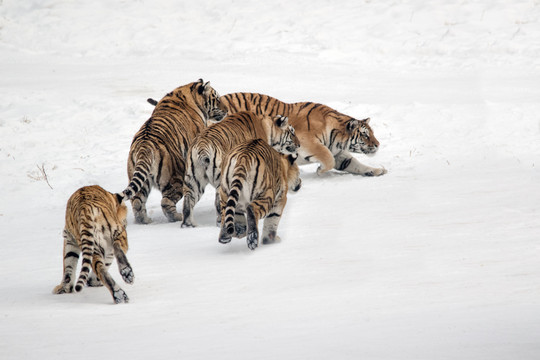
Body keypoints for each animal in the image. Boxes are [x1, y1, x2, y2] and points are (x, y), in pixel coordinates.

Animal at [125, 80, 227, 224]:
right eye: (217, 98)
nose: (227, 110)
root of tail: (145, 147)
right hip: (176, 177)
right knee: (166, 202)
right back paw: (178, 217)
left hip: (140, 182)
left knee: (137, 202)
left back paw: (145, 220)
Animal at [220, 93, 388, 177]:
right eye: (365, 135)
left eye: (372, 133)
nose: (378, 144)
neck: (337, 140)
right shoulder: (307, 142)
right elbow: (328, 158)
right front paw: (319, 171)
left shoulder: (339, 153)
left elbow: (355, 164)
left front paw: (377, 170)